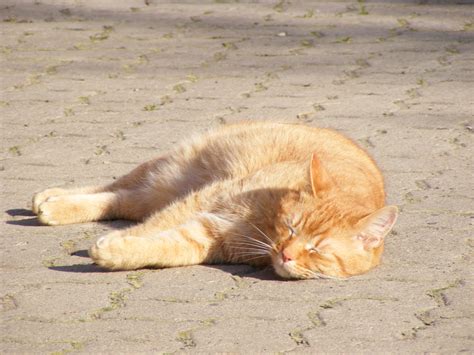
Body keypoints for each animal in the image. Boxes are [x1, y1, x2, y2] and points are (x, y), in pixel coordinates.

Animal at [31, 123, 398, 280]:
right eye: (291, 228)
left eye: (317, 249)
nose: (286, 254)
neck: (266, 227)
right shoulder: (205, 200)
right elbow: (155, 225)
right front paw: (118, 241)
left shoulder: (210, 236)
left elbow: (165, 247)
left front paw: (118, 252)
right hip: (170, 176)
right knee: (117, 187)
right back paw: (52, 200)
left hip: (161, 190)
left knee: (121, 199)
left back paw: (52, 203)